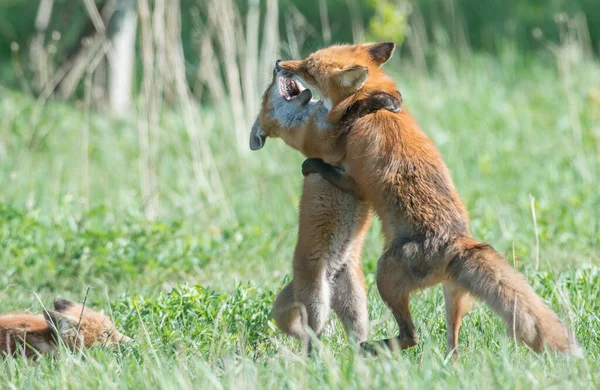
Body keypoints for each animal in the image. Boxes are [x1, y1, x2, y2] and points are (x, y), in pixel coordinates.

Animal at [270, 42, 580, 356]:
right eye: (307, 59)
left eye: (308, 67)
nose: (279, 63)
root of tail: (457, 243)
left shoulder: (354, 179)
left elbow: (329, 162)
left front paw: (312, 163)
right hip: (453, 296)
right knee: (453, 346)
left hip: (384, 276)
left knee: (411, 335)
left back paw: (372, 347)